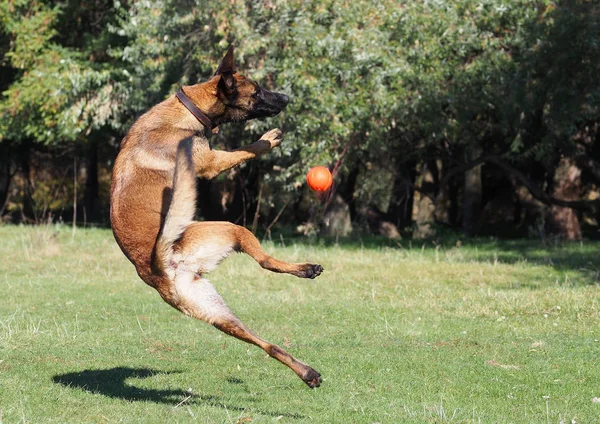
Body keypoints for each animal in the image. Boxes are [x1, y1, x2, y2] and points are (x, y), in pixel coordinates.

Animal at [108, 46, 324, 388]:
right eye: (257, 90)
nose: (286, 97)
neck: (190, 107)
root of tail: (159, 265)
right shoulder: (210, 162)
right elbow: (243, 150)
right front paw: (266, 140)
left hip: (219, 314)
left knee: (266, 345)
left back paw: (307, 372)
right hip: (229, 228)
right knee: (265, 261)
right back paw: (306, 269)